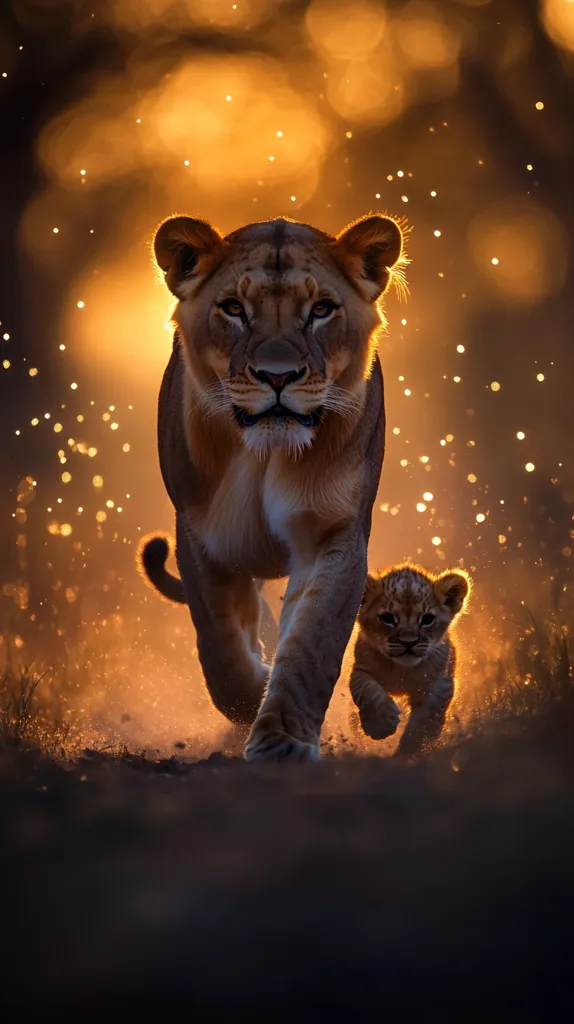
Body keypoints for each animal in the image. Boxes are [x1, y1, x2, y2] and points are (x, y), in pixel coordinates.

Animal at [139, 212, 406, 761]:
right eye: (234, 309)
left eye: (321, 309)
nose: (277, 376)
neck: (266, 455)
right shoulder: (202, 536)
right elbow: (218, 644)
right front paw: (252, 691)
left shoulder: (334, 534)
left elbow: (312, 643)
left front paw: (282, 739)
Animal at [350, 564, 470, 756]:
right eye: (388, 618)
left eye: (427, 619)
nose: (409, 642)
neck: (403, 671)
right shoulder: (361, 669)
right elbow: (368, 691)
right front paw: (380, 726)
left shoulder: (438, 684)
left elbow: (423, 720)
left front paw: (411, 749)